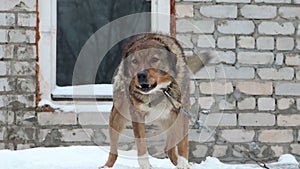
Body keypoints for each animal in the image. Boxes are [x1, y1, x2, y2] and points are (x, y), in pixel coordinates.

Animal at [101, 33, 209, 168]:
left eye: (154, 59)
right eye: (134, 61)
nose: (141, 75)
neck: (159, 92)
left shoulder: (182, 113)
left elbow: (183, 144)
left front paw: (183, 164)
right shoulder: (137, 114)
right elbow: (141, 144)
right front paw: (145, 166)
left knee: (169, 148)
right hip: (117, 117)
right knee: (113, 150)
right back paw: (107, 165)